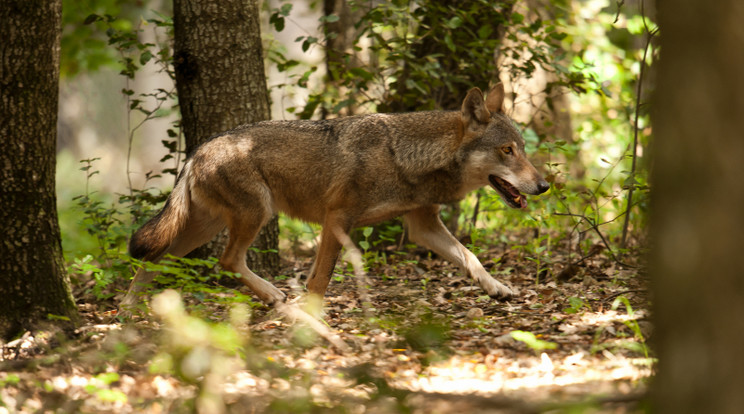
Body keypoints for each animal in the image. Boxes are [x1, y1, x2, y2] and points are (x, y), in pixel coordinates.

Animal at [122, 83, 548, 310]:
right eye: (507, 151)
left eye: (524, 149)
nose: (545, 186)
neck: (407, 156)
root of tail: (198, 149)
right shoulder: (337, 220)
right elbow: (321, 278)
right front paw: (313, 318)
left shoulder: (422, 226)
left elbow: (470, 256)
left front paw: (496, 288)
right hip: (255, 214)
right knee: (226, 261)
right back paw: (273, 295)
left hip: (203, 228)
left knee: (157, 258)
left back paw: (127, 311)